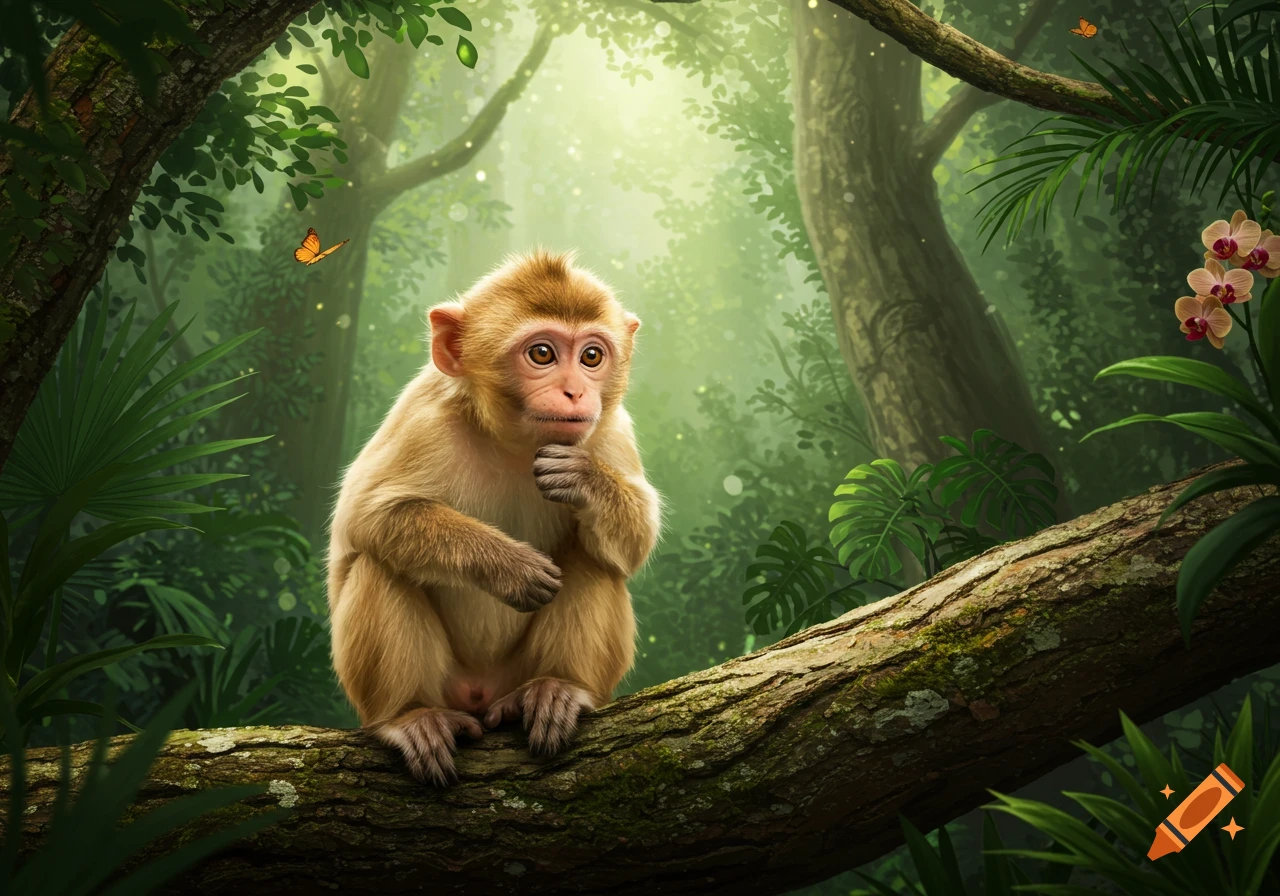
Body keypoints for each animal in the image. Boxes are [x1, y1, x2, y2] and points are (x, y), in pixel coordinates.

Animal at [326, 249, 661, 785]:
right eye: (542, 354)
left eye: (591, 357)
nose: (575, 393)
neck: (513, 444)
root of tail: (482, 695)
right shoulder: (423, 418)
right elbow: (368, 516)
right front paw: (510, 567)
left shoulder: (609, 429)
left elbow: (635, 545)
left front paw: (585, 481)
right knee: (380, 564)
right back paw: (408, 716)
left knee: (595, 561)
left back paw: (559, 688)